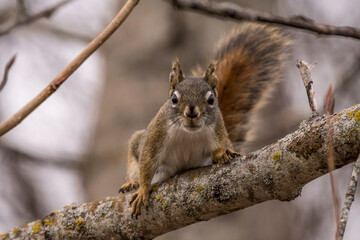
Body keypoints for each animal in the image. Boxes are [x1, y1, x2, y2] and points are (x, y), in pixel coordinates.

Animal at [119, 23, 292, 217]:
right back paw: (131, 183)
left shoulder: (218, 132)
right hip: (137, 143)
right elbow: (146, 163)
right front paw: (142, 191)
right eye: (174, 99)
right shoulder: (156, 137)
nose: (192, 112)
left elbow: (217, 150)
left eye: (210, 99)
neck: (188, 133)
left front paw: (223, 154)